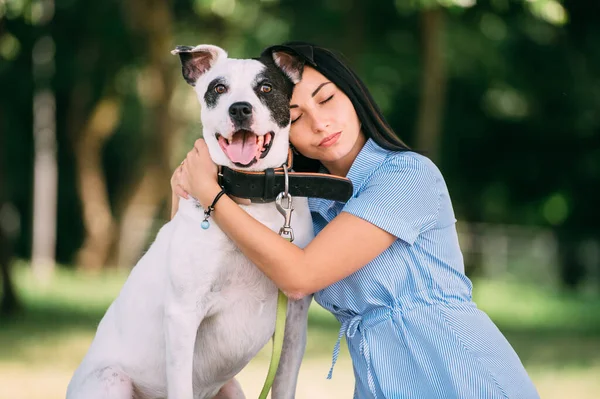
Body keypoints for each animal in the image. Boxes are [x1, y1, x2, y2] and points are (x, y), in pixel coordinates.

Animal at [67, 44, 314, 399]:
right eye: (219, 88)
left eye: (266, 87)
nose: (240, 109)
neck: (251, 207)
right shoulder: (183, 314)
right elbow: (181, 383)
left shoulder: (294, 321)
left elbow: (284, 384)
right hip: (110, 381)